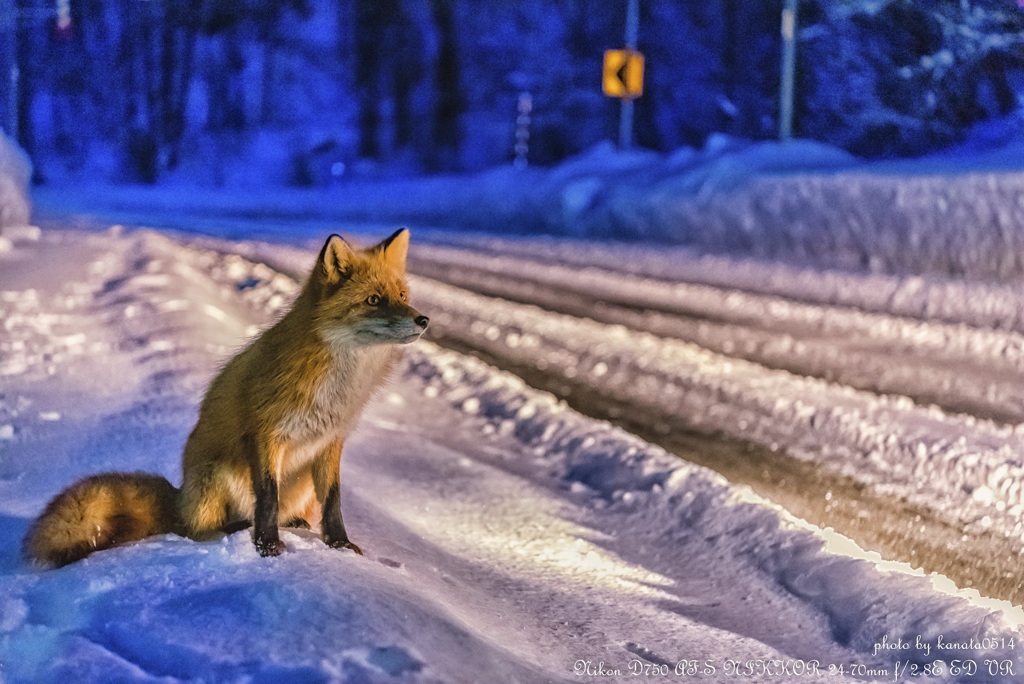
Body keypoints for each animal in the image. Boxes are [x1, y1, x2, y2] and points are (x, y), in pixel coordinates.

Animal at [20, 229, 428, 565]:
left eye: (402, 296)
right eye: (373, 300)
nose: (423, 320)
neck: (339, 384)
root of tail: (180, 498)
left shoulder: (331, 442)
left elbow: (333, 502)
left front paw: (340, 546)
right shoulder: (265, 433)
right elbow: (267, 498)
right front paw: (267, 547)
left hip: (299, 487)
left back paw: (292, 523)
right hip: (215, 477)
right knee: (199, 530)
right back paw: (232, 531)